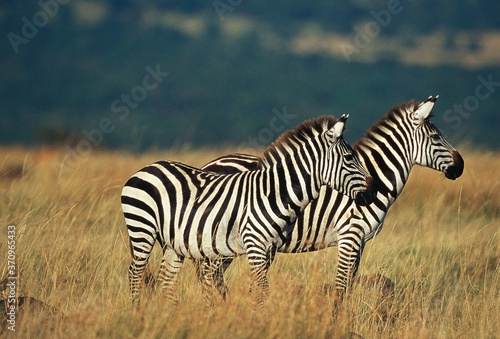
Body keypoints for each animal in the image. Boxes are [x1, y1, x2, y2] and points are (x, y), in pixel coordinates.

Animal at [121, 115, 376, 306]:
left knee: (165, 278)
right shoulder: (255, 243)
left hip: (173, 241)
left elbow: (258, 287)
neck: (275, 193)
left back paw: (170, 314)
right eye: (349, 157)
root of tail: (148, 167)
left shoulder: (270, 247)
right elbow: (261, 288)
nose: (372, 193)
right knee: (135, 273)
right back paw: (137, 312)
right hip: (142, 228)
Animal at [195, 96, 464, 306]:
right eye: (436, 136)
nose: (460, 165)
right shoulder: (349, 236)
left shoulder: (360, 242)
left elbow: (350, 286)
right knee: (209, 277)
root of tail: (208, 164)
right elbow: (341, 288)